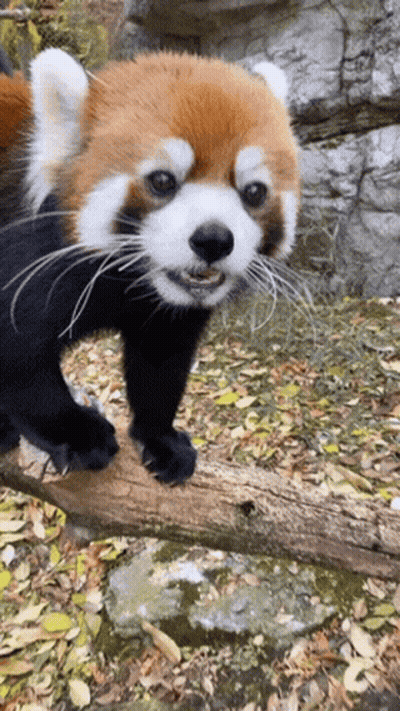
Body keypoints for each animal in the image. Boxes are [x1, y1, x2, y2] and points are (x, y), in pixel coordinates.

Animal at [0, 49, 299, 483]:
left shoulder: (166, 311)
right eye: (162, 181)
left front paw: (161, 437)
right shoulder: (29, 260)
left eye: (254, 192)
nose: (213, 239)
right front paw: (79, 434)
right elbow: (22, 360)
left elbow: (160, 363)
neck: (130, 279)